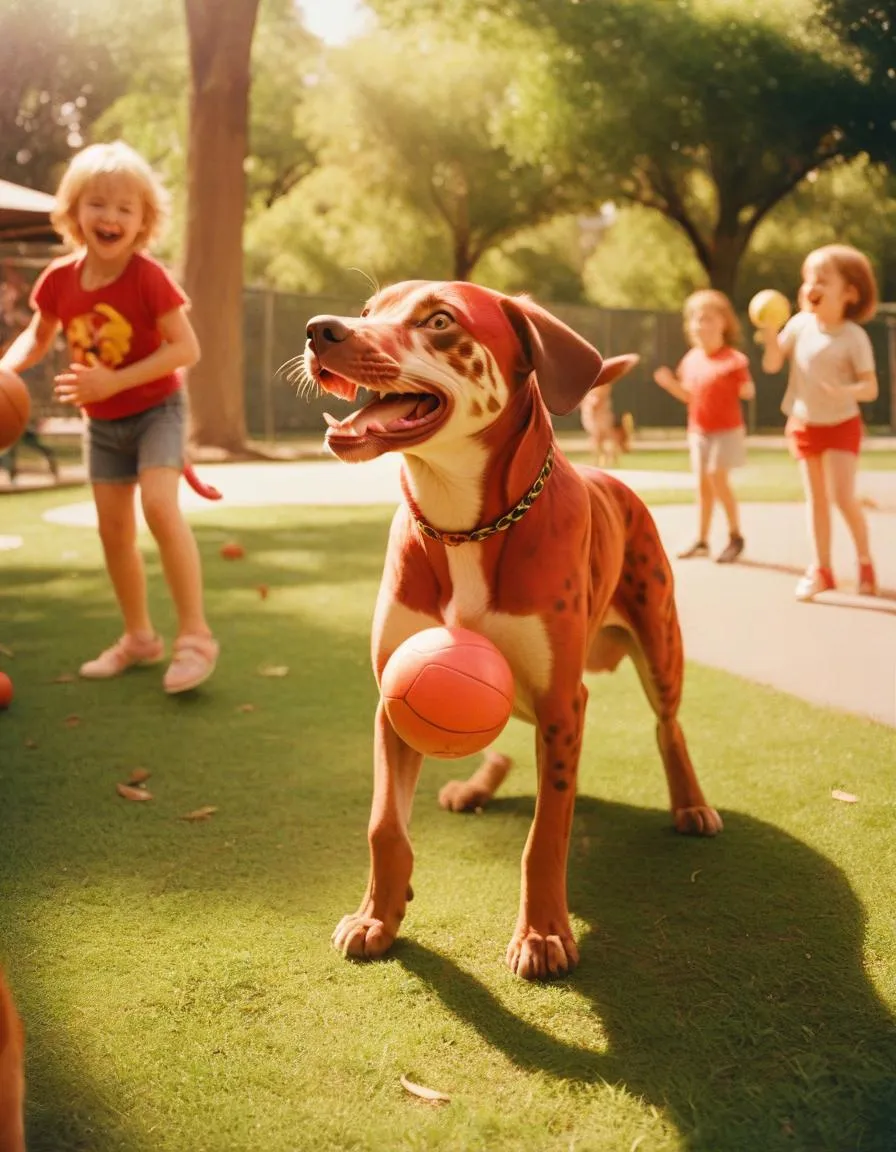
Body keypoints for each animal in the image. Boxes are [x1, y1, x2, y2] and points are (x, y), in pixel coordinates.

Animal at [304, 281, 723, 981]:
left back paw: (690, 802)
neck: (462, 525)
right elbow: (384, 824)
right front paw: (375, 916)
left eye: (439, 320)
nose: (318, 330)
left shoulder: (561, 704)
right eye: (367, 312)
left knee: (669, 725)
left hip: (661, 643)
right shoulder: (393, 698)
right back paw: (476, 786)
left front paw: (544, 933)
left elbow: (545, 834)